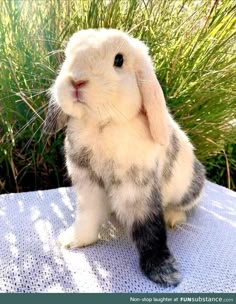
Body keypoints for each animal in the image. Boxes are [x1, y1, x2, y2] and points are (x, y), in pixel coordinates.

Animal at [45, 27, 205, 286]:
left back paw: (173, 217)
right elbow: (87, 216)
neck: (102, 125)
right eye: (68, 55)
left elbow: (150, 231)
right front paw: (74, 240)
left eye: (118, 60)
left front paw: (164, 273)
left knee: (186, 206)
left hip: (190, 187)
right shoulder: (89, 185)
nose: (76, 80)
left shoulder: (139, 191)